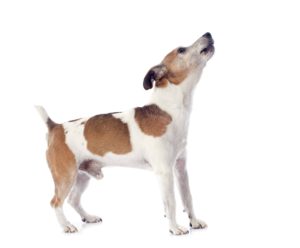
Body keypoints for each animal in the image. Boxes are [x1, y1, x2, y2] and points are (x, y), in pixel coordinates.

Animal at [35, 32, 213, 234]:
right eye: (181, 50)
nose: (208, 34)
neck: (167, 109)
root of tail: (55, 126)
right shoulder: (165, 171)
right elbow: (172, 202)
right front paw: (175, 228)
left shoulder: (181, 169)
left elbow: (187, 198)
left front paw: (194, 221)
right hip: (66, 175)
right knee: (56, 202)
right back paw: (66, 225)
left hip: (82, 175)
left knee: (73, 199)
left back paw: (88, 217)